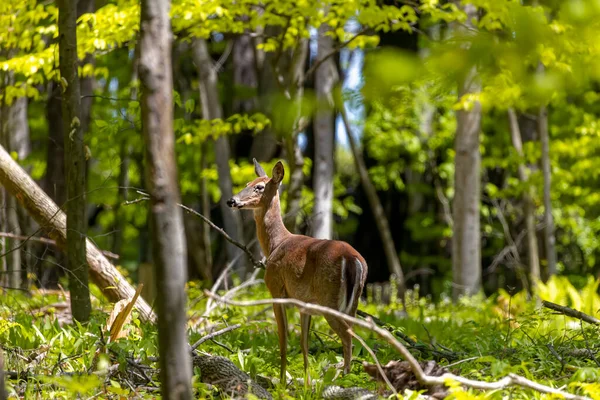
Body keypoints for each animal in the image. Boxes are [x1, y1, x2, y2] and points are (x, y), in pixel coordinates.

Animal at [225, 158, 366, 382]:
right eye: (247, 183)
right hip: (352, 303)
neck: (275, 245)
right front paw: (306, 383)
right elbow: (304, 345)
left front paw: (282, 382)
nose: (232, 200)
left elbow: (283, 342)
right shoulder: (304, 304)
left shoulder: (276, 290)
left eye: (259, 187)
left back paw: (343, 379)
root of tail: (353, 259)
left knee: (349, 339)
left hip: (330, 300)